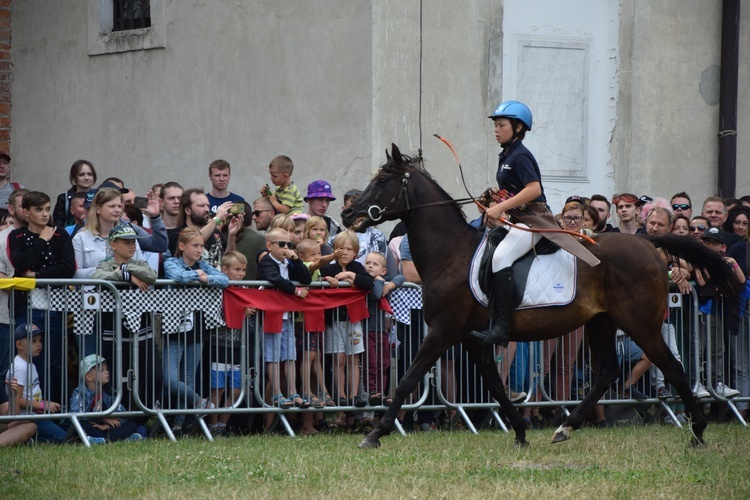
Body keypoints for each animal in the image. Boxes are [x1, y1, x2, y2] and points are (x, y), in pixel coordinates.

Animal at [344, 143, 744, 448]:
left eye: (382, 180)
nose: (349, 213)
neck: (450, 254)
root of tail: (648, 242)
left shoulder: (443, 331)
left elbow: (408, 379)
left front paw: (376, 434)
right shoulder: (471, 338)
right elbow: (494, 384)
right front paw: (521, 430)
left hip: (641, 324)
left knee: (672, 368)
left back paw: (698, 431)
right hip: (601, 322)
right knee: (608, 372)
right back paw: (565, 426)